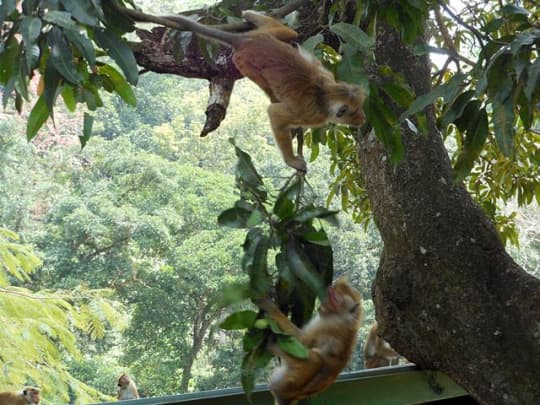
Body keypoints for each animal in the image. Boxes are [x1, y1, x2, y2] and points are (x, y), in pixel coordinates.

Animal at [150, 9, 368, 170]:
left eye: (360, 108)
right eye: (353, 112)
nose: (363, 118)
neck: (325, 94)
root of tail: (247, 41)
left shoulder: (329, 78)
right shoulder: (313, 114)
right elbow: (275, 114)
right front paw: (291, 161)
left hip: (265, 36)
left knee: (290, 34)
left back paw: (251, 15)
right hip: (244, 62)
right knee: (266, 80)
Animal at [256, 276, 362, 404]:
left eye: (334, 298)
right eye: (329, 294)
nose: (323, 305)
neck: (344, 315)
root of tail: (290, 396)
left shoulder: (328, 324)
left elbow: (302, 341)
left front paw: (269, 305)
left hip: (289, 381)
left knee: (316, 359)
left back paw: (271, 343)